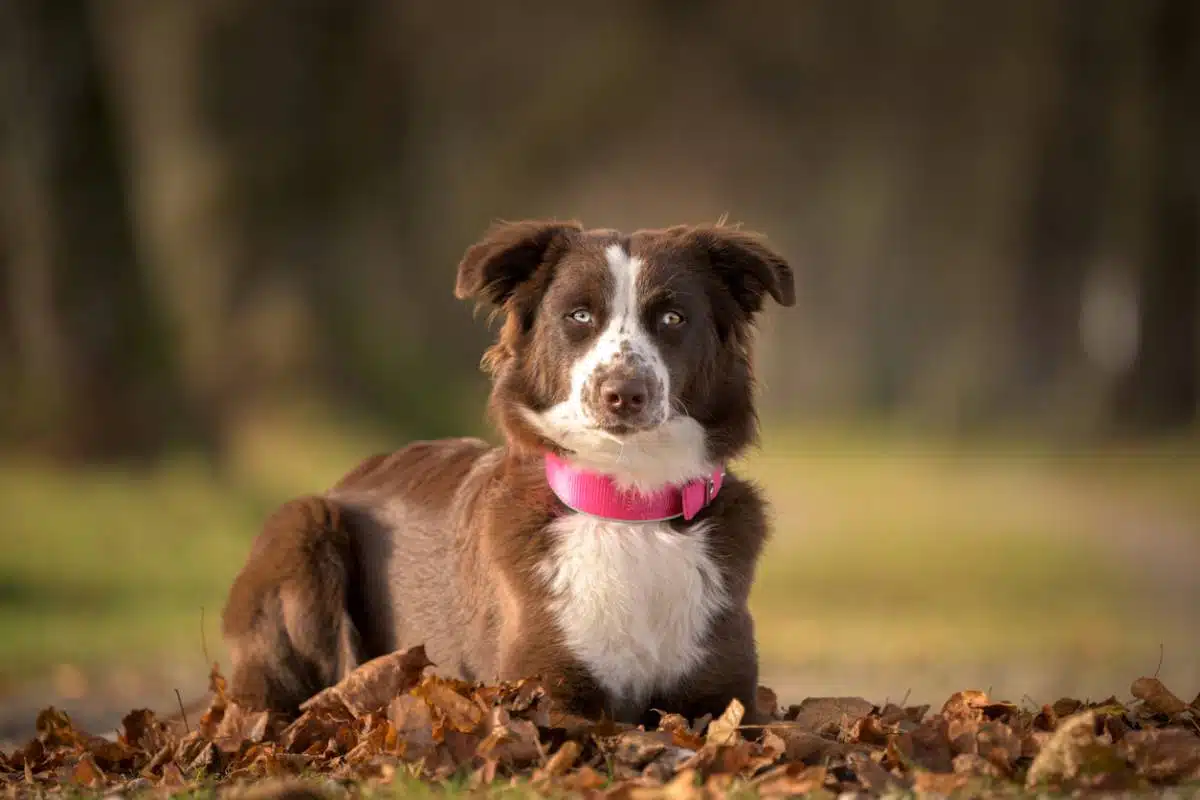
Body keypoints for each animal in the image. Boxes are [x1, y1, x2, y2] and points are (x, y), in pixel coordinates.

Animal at [220, 219, 792, 724]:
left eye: (673, 319)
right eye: (579, 316)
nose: (625, 394)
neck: (630, 506)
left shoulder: (726, 694)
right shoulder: (545, 690)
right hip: (304, 520)